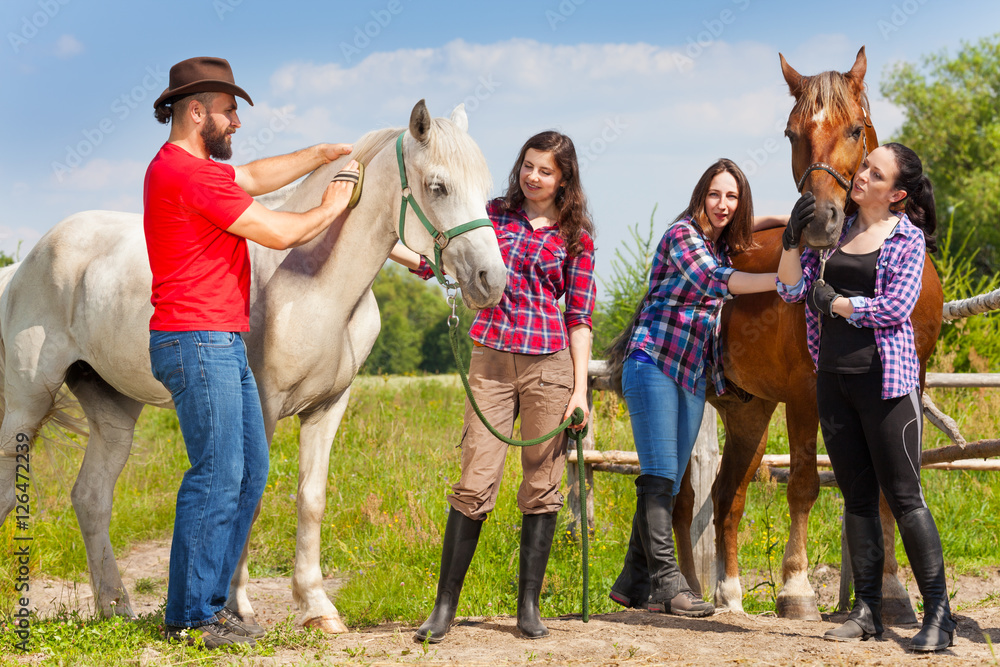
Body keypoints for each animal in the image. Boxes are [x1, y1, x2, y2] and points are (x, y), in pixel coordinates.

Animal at [0, 99, 504, 632]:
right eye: (438, 186)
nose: (491, 280)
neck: (315, 284)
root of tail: (26, 263)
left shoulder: (328, 408)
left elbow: (311, 499)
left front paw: (317, 607)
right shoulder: (261, 404)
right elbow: (250, 493)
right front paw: (237, 606)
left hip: (113, 410)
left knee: (91, 497)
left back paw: (116, 606)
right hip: (28, 404)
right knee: (11, 489)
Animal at [672, 47, 944, 620]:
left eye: (856, 129)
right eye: (791, 132)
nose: (818, 220)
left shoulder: (909, 385)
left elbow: (887, 487)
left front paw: (893, 591)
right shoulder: (805, 392)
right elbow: (801, 484)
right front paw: (795, 589)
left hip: (749, 415)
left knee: (727, 497)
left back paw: (729, 594)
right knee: (681, 499)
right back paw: (685, 589)